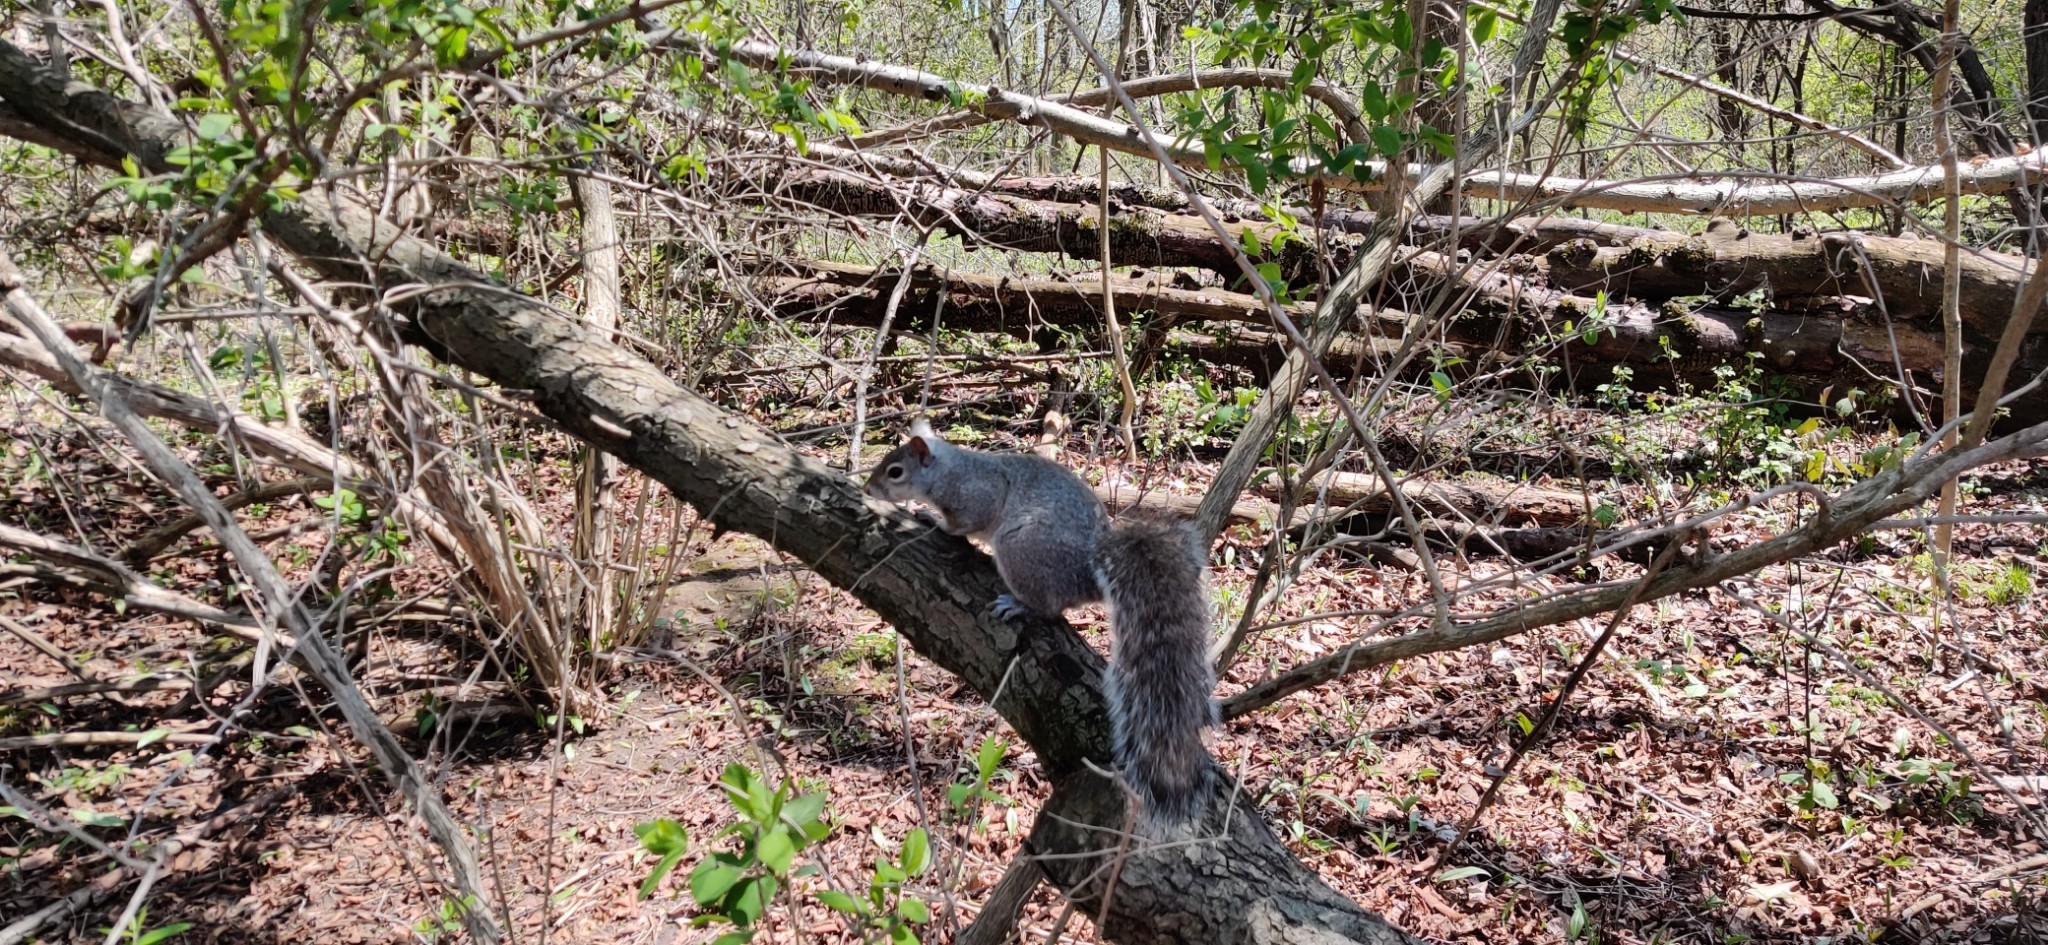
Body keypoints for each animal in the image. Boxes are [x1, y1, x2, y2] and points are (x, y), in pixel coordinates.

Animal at [864, 418, 1212, 824]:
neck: (950, 469)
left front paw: (931, 517)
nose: (868, 488)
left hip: (1021, 547)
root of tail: (1087, 574)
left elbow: (963, 523)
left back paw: (1019, 605)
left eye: (895, 471)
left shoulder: (977, 495)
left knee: (1049, 607)